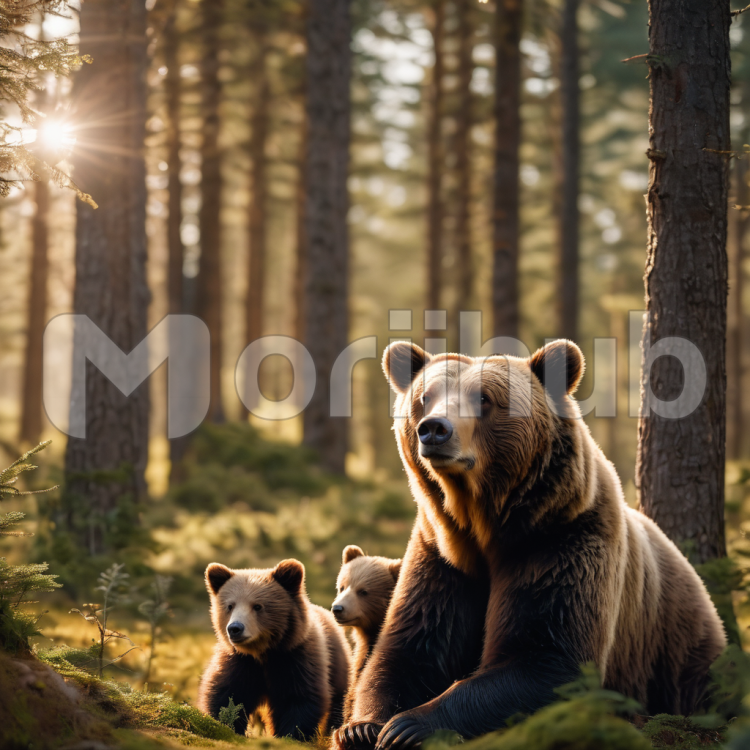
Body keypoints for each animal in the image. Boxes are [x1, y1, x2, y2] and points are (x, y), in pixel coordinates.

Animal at [197, 558, 351, 739]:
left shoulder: (296, 659)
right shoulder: (238, 661)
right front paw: (226, 723)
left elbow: (299, 698)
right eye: (230, 606)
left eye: (257, 606)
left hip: (337, 664)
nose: (235, 628)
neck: (262, 652)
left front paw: (291, 734)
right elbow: (227, 695)